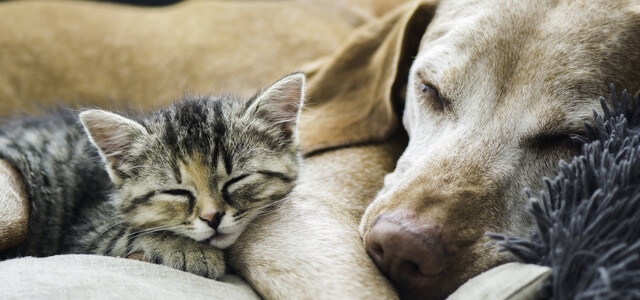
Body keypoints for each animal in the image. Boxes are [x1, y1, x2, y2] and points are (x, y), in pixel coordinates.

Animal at [0, 72, 304, 278]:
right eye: (176, 192)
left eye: (236, 180)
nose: (212, 217)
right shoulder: (86, 233)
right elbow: (131, 233)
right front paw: (191, 250)